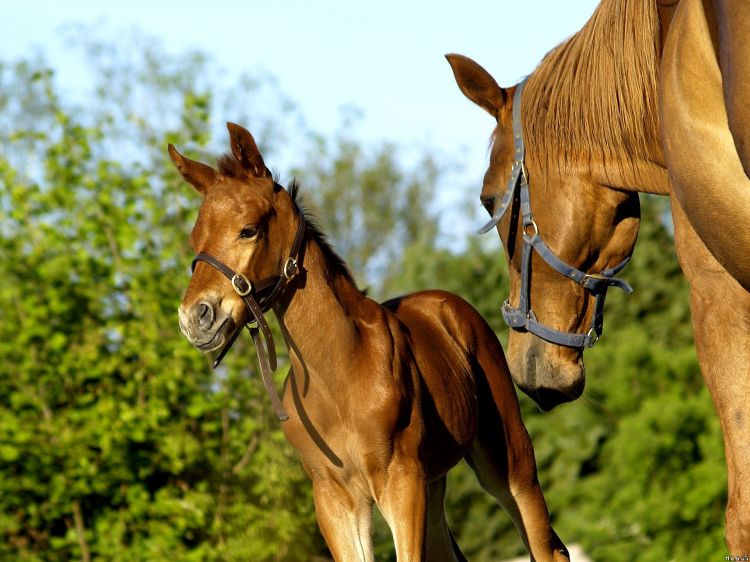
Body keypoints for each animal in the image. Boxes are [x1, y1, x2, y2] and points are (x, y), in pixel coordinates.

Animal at [170, 123, 568, 560]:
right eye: (195, 240)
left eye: (248, 229)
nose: (195, 317)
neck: (339, 373)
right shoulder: (334, 497)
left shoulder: (401, 480)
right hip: (434, 483)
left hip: (509, 460)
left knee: (547, 546)